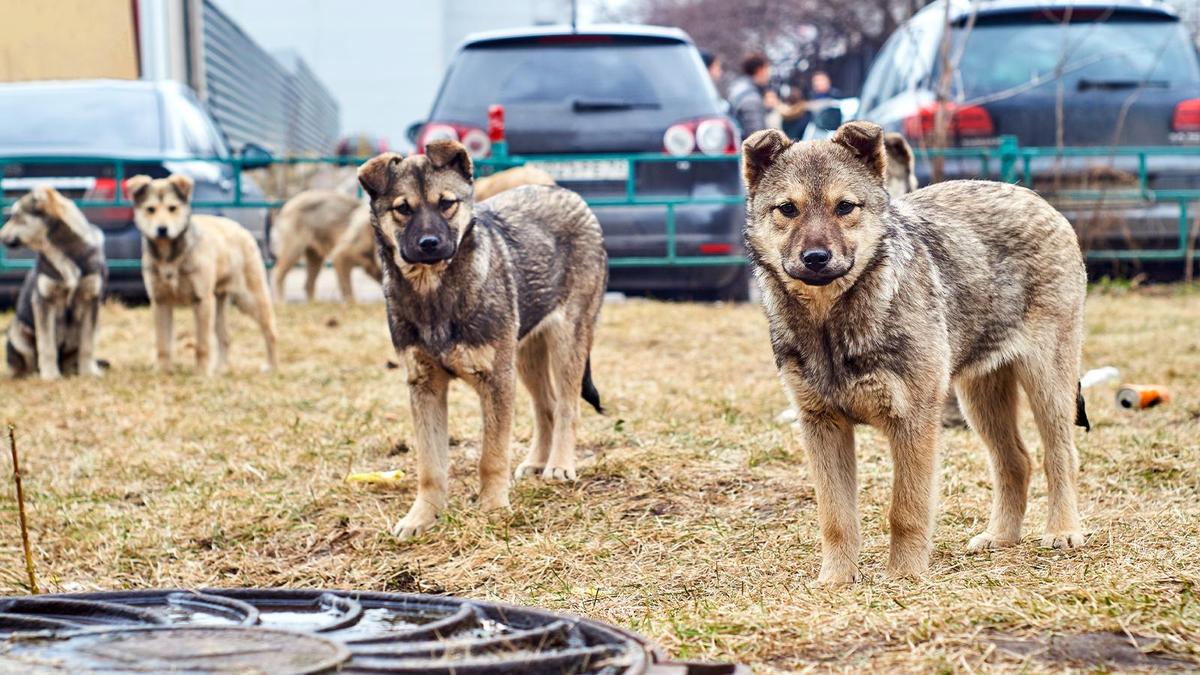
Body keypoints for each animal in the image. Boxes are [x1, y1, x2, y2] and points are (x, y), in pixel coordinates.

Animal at [1, 186, 106, 379]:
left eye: (16, 216)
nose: (0, 236)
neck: (62, 251)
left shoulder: (91, 300)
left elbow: (87, 345)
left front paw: (89, 372)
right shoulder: (44, 301)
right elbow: (47, 344)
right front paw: (50, 376)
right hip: (16, 330)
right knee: (28, 362)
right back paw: (34, 374)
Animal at [127, 172, 277, 372]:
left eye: (172, 208)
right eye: (150, 209)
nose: (162, 229)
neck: (170, 256)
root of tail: (240, 228)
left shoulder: (202, 300)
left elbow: (202, 343)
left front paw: (202, 372)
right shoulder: (160, 302)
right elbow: (163, 343)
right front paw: (163, 370)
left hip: (249, 299)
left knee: (270, 330)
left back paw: (272, 366)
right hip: (219, 303)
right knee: (225, 337)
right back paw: (220, 369)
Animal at [352, 140, 600, 535]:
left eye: (446, 204)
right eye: (403, 209)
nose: (429, 243)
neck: (434, 290)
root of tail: (566, 192)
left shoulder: (496, 379)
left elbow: (492, 455)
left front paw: (493, 508)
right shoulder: (425, 385)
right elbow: (430, 465)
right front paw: (423, 516)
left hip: (567, 340)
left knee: (566, 405)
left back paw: (559, 465)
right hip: (525, 354)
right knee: (545, 406)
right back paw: (537, 462)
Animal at [739, 121, 1089, 583]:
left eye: (845, 207)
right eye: (787, 209)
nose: (815, 258)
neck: (833, 322)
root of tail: (1035, 198)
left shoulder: (912, 422)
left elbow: (904, 510)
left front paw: (903, 576)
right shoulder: (823, 426)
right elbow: (835, 516)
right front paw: (836, 580)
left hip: (1047, 384)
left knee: (1059, 455)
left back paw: (1063, 531)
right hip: (980, 396)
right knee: (1015, 461)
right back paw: (1001, 537)